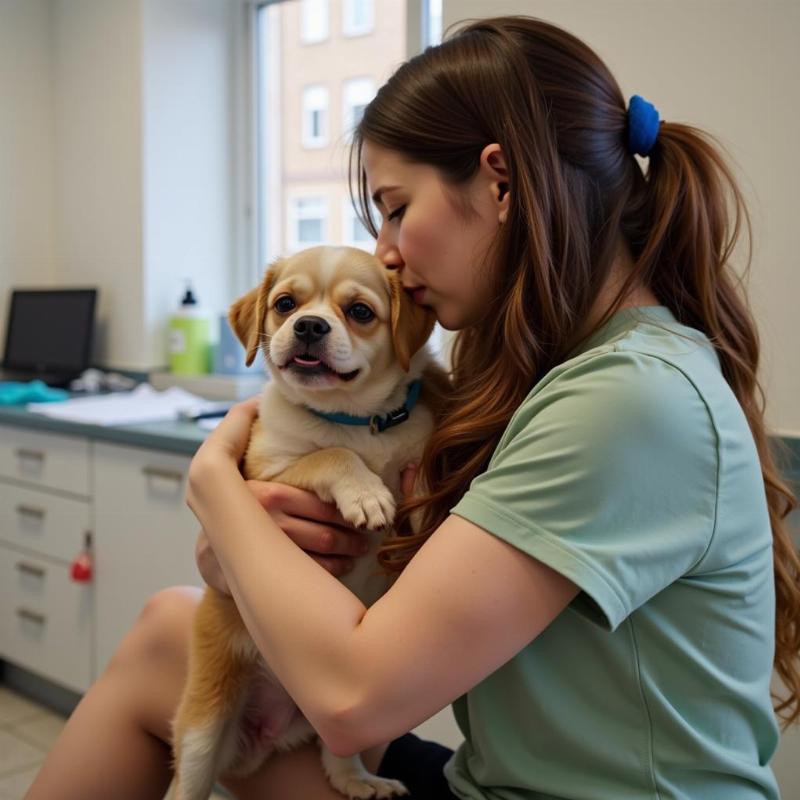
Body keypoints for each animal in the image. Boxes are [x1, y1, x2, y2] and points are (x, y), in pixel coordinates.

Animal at [172, 245, 446, 800]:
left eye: (359, 311)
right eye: (285, 304)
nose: (310, 326)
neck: (354, 420)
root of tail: (267, 733)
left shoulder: (415, 455)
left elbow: (421, 480)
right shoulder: (266, 472)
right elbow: (331, 455)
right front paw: (367, 494)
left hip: (348, 722)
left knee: (336, 756)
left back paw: (359, 780)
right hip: (203, 731)